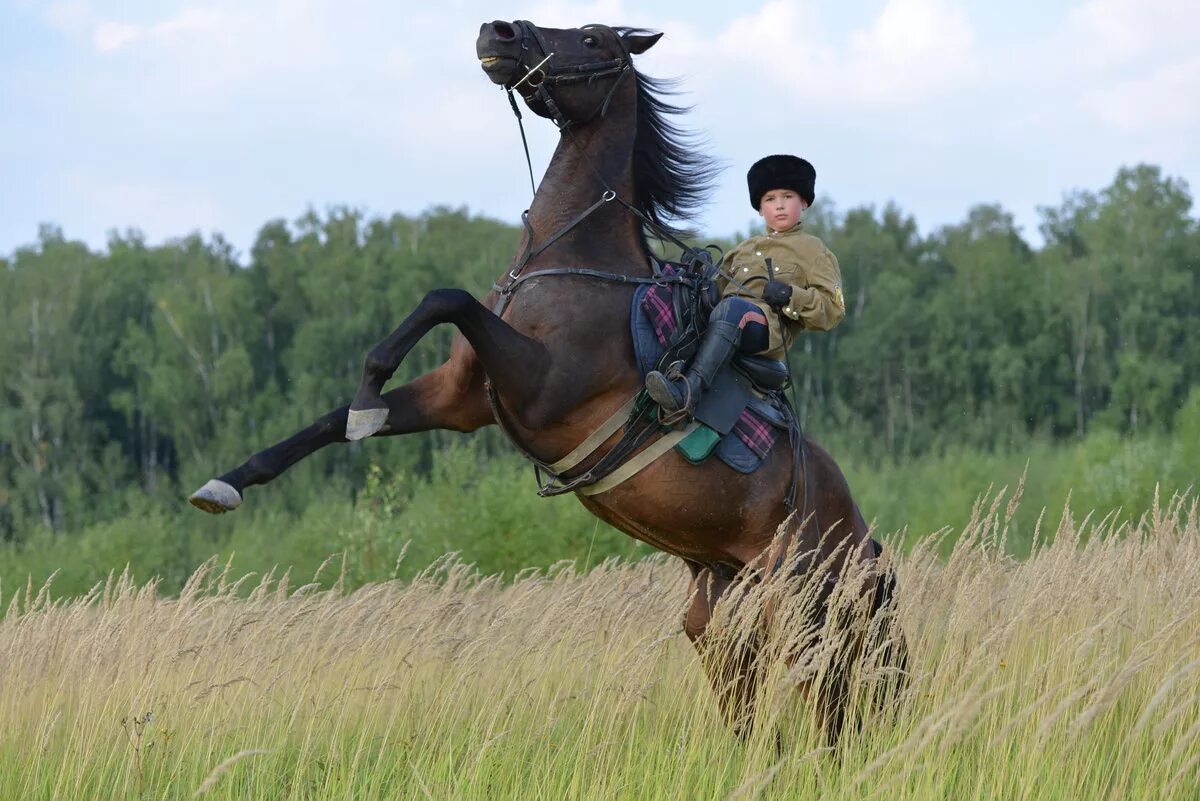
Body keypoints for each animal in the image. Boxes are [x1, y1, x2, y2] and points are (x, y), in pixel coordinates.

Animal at [187, 18, 902, 743]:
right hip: (721, 607)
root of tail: (859, 533)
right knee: (758, 706)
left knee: (833, 706)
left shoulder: (539, 386)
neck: (571, 264)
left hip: (805, 609)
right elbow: (336, 419)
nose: (498, 31)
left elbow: (443, 297)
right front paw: (231, 481)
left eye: (592, 39)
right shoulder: (461, 396)